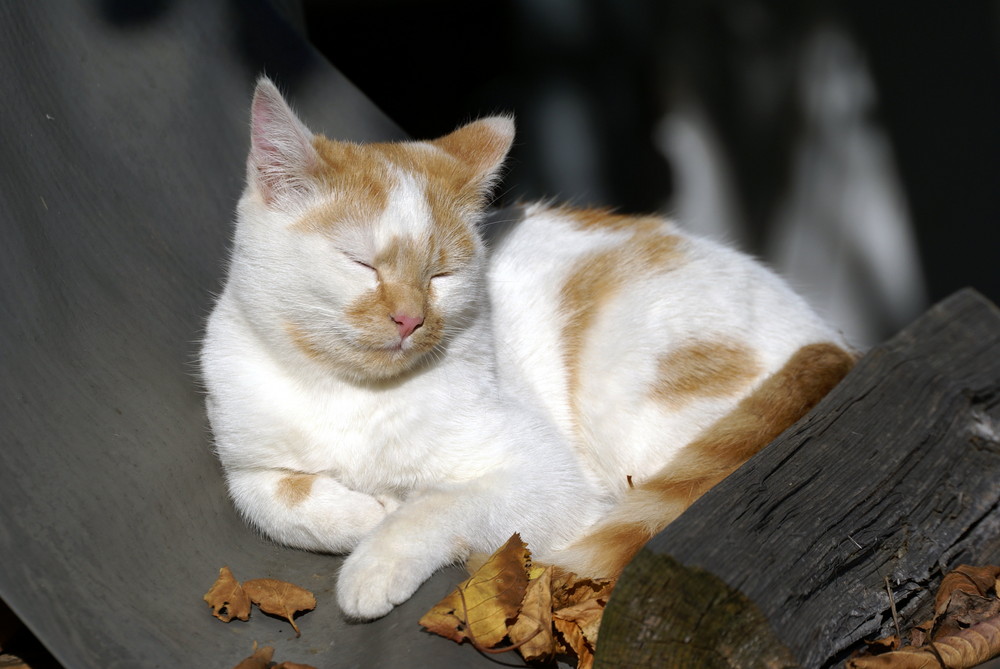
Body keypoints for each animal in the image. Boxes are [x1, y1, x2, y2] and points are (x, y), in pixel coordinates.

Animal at [199, 75, 856, 620]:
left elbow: (443, 505)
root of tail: (831, 341)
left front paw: (376, 558)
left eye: (441, 275)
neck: (351, 394)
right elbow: (266, 496)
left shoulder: (546, 478)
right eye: (361, 263)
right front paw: (360, 513)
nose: (411, 318)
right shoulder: (245, 448)